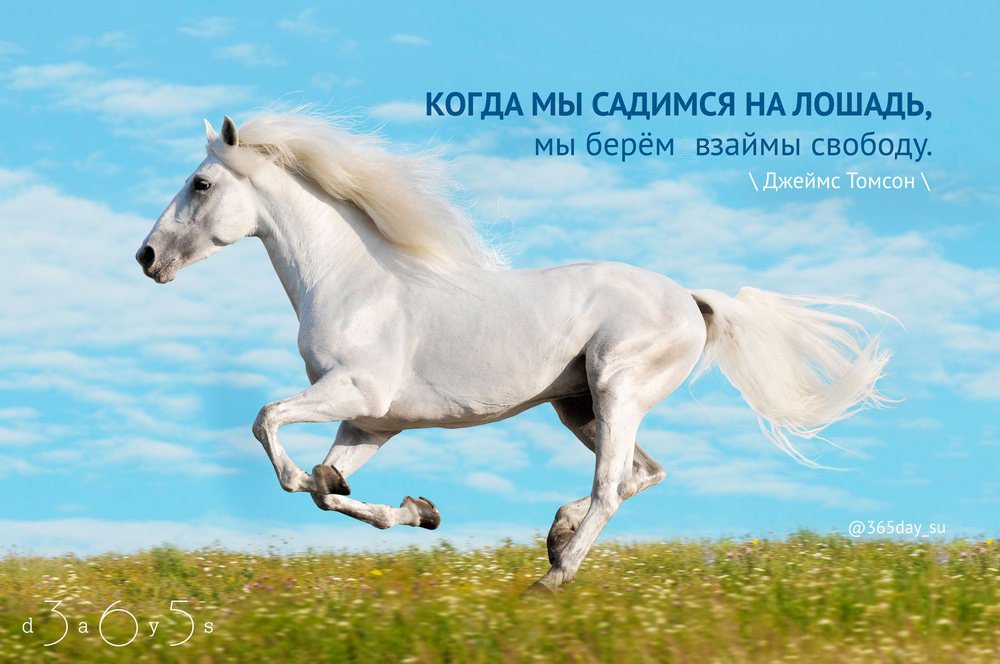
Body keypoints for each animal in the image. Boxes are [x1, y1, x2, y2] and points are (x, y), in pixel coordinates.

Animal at [136, 112, 891, 592]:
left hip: (616, 389)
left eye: (200, 184)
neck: (354, 281)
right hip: (578, 406)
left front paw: (331, 483)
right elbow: (330, 491)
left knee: (613, 484)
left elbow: (270, 427)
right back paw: (556, 533)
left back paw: (552, 577)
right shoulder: (372, 422)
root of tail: (691, 300)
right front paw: (419, 510)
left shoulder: (355, 393)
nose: (145, 257)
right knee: (643, 473)